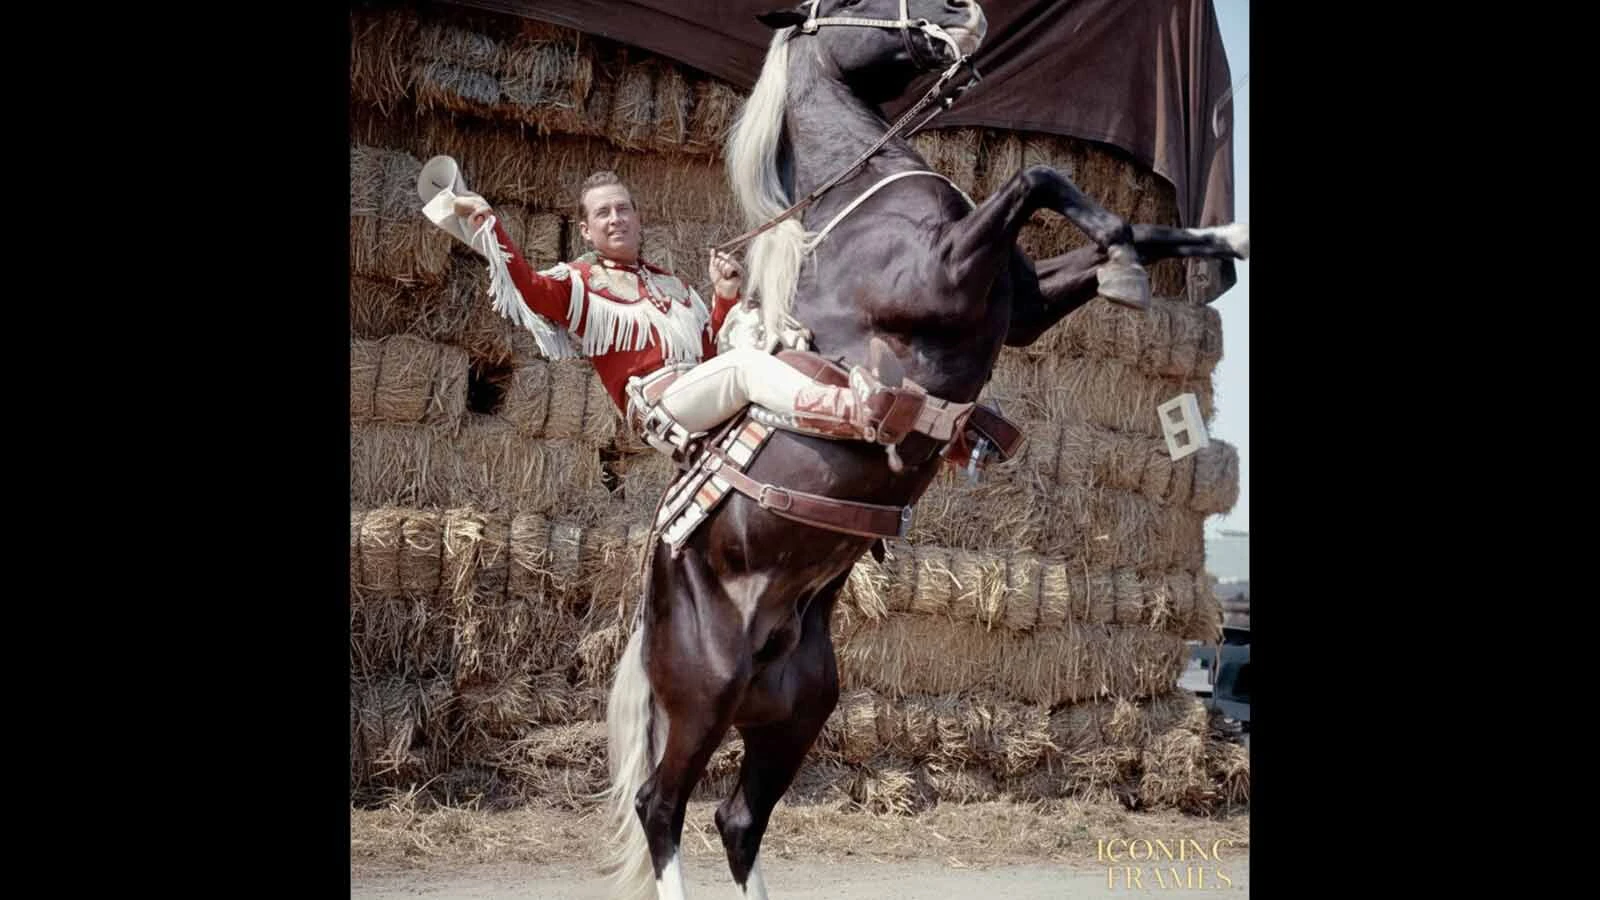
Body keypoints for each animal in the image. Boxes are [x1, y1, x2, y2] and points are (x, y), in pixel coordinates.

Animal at [601, 2, 1250, 897]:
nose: (961, 12)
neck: (868, 204)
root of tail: (658, 590)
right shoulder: (946, 277)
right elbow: (1039, 178)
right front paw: (1120, 250)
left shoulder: (1020, 305)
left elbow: (1135, 233)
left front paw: (1221, 236)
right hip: (704, 694)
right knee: (660, 807)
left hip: (798, 709)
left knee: (738, 820)